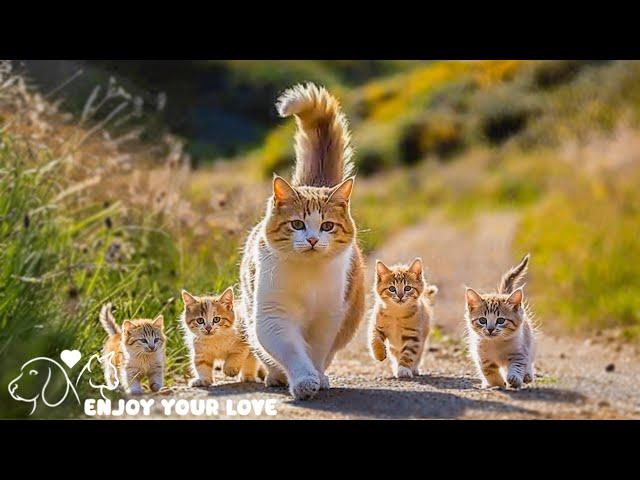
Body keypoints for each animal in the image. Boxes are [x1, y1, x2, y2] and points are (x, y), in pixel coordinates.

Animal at [238, 82, 364, 402]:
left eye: (327, 226)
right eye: (297, 224)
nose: (312, 239)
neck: (307, 276)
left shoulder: (328, 318)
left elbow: (316, 353)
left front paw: (316, 376)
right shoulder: (272, 316)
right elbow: (293, 352)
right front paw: (303, 380)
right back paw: (276, 377)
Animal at [464, 253, 536, 388]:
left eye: (501, 320)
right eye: (482, 320)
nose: (490, 329)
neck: (496, 344)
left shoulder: (519, 353)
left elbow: (518, 365)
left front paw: (514, 379)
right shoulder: (483, 359)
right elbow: (489, 373)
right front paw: (497, 384)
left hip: (528, 338)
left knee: (529, 359)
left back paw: (527, 375)